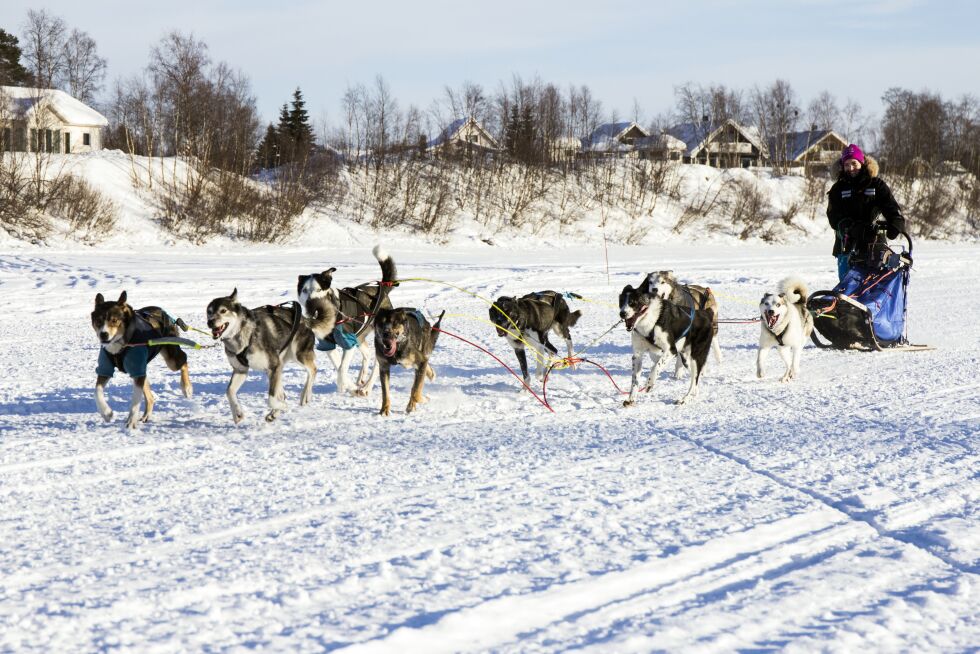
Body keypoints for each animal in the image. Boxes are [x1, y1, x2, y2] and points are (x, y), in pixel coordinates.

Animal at [92, 292, 193, 430]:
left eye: (114, 320)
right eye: (98, 321)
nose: (104, 334)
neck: (120, 346)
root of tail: (163, 311)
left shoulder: (137, 370)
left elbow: (135, 401)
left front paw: (131, 422)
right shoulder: (105, 369)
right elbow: (97, 391)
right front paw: (106, 413)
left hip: (171, 359)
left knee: (184, 360)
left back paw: (186, 388)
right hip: (143, 369)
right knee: (150, 397)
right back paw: (146, 415)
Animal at [206, 288, 314, 422]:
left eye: (223, 310)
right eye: (209, 312)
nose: (210, 322)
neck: (244, 336)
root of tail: (304, 319)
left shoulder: (273, 366)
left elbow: (271, 399)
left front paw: (283, 406)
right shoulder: (241, 370)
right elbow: (229, 391)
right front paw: (237, 413)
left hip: (297, 355)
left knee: (313, 370)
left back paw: (305, 395)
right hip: (276, 367)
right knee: (282, 392)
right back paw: (274, 413)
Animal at [296, 246, 396, 398]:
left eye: (319, 289)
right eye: (304, 290)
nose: (310, 303)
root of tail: (382, 289)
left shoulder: (348, 344)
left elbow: (341, 369)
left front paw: (343, 386)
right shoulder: (328, 345)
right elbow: (339, 366)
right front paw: (351, 387)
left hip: (380, 338)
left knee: (378, 363)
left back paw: (367, 387)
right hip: (359, 337)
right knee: (367, 354)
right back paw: (361, 379)